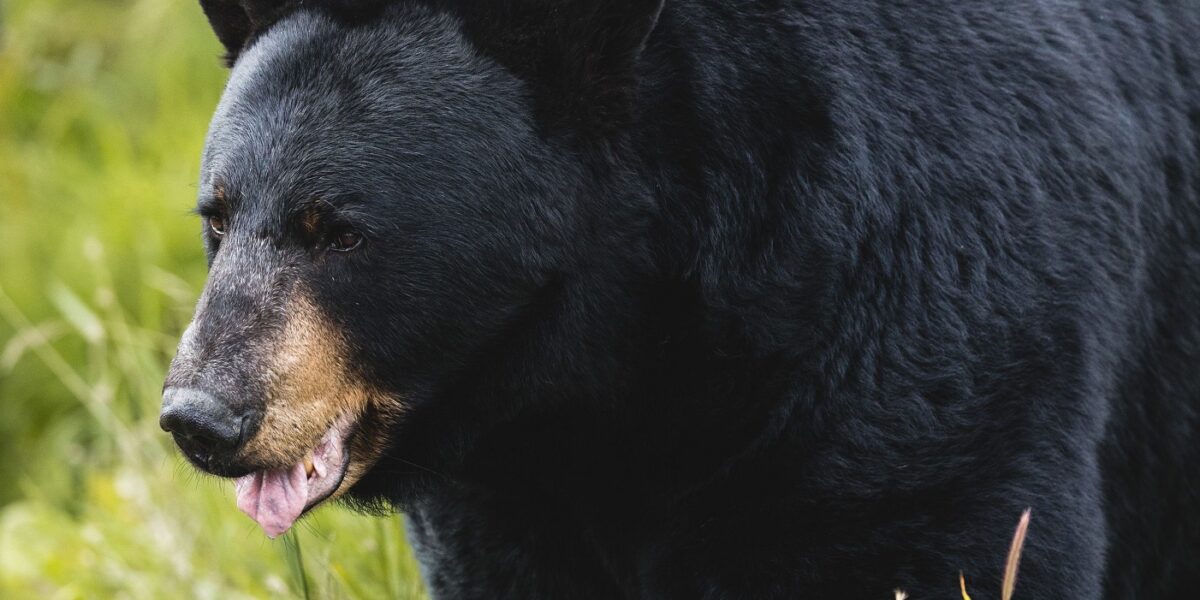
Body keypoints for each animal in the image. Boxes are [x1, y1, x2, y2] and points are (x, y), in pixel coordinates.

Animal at [158, 0, 1200, 598]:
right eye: (218, 215)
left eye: (339, 230)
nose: (199, 416)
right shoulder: (507, 491)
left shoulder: (932, 344)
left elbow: (955, 550)